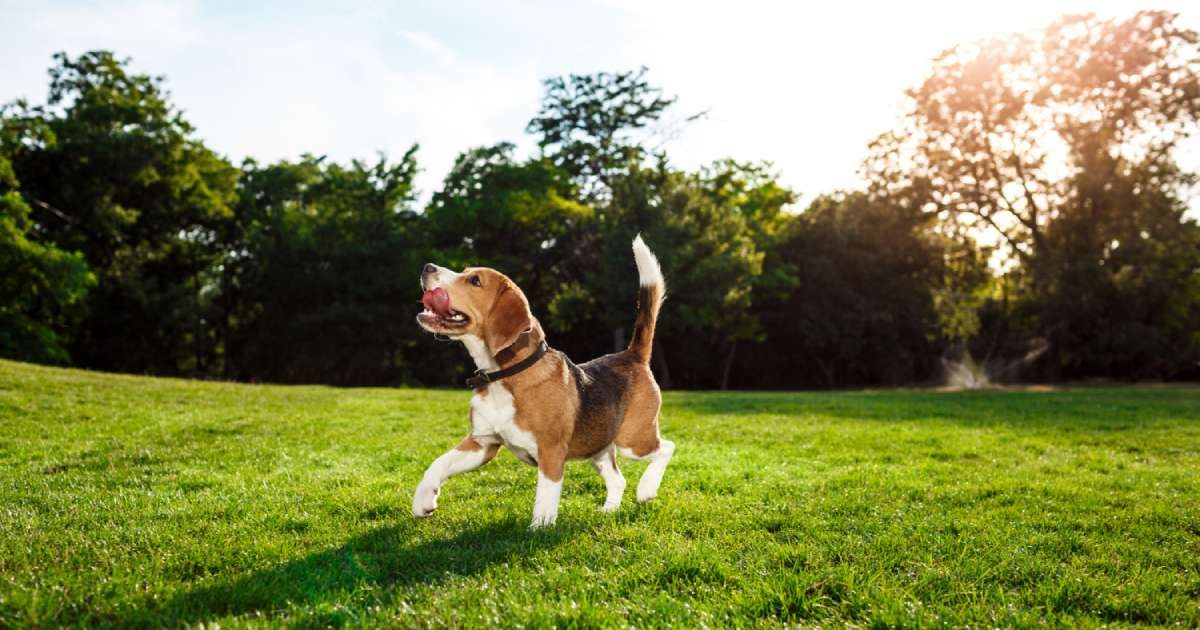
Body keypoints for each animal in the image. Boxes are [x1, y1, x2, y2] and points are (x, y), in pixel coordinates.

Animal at [412, 234, 676, 525]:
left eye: (475, 281)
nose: (427, 267)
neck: (505, 375)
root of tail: (631, 355)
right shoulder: (482, 443)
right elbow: (438, 463)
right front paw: (423, 500)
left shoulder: (551, 452)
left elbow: (545, 499)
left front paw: (540, 529)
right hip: (599, 447)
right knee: (618, 480)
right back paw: (609, 510)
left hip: (634, 440)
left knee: (667, 448)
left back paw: (647, 489)